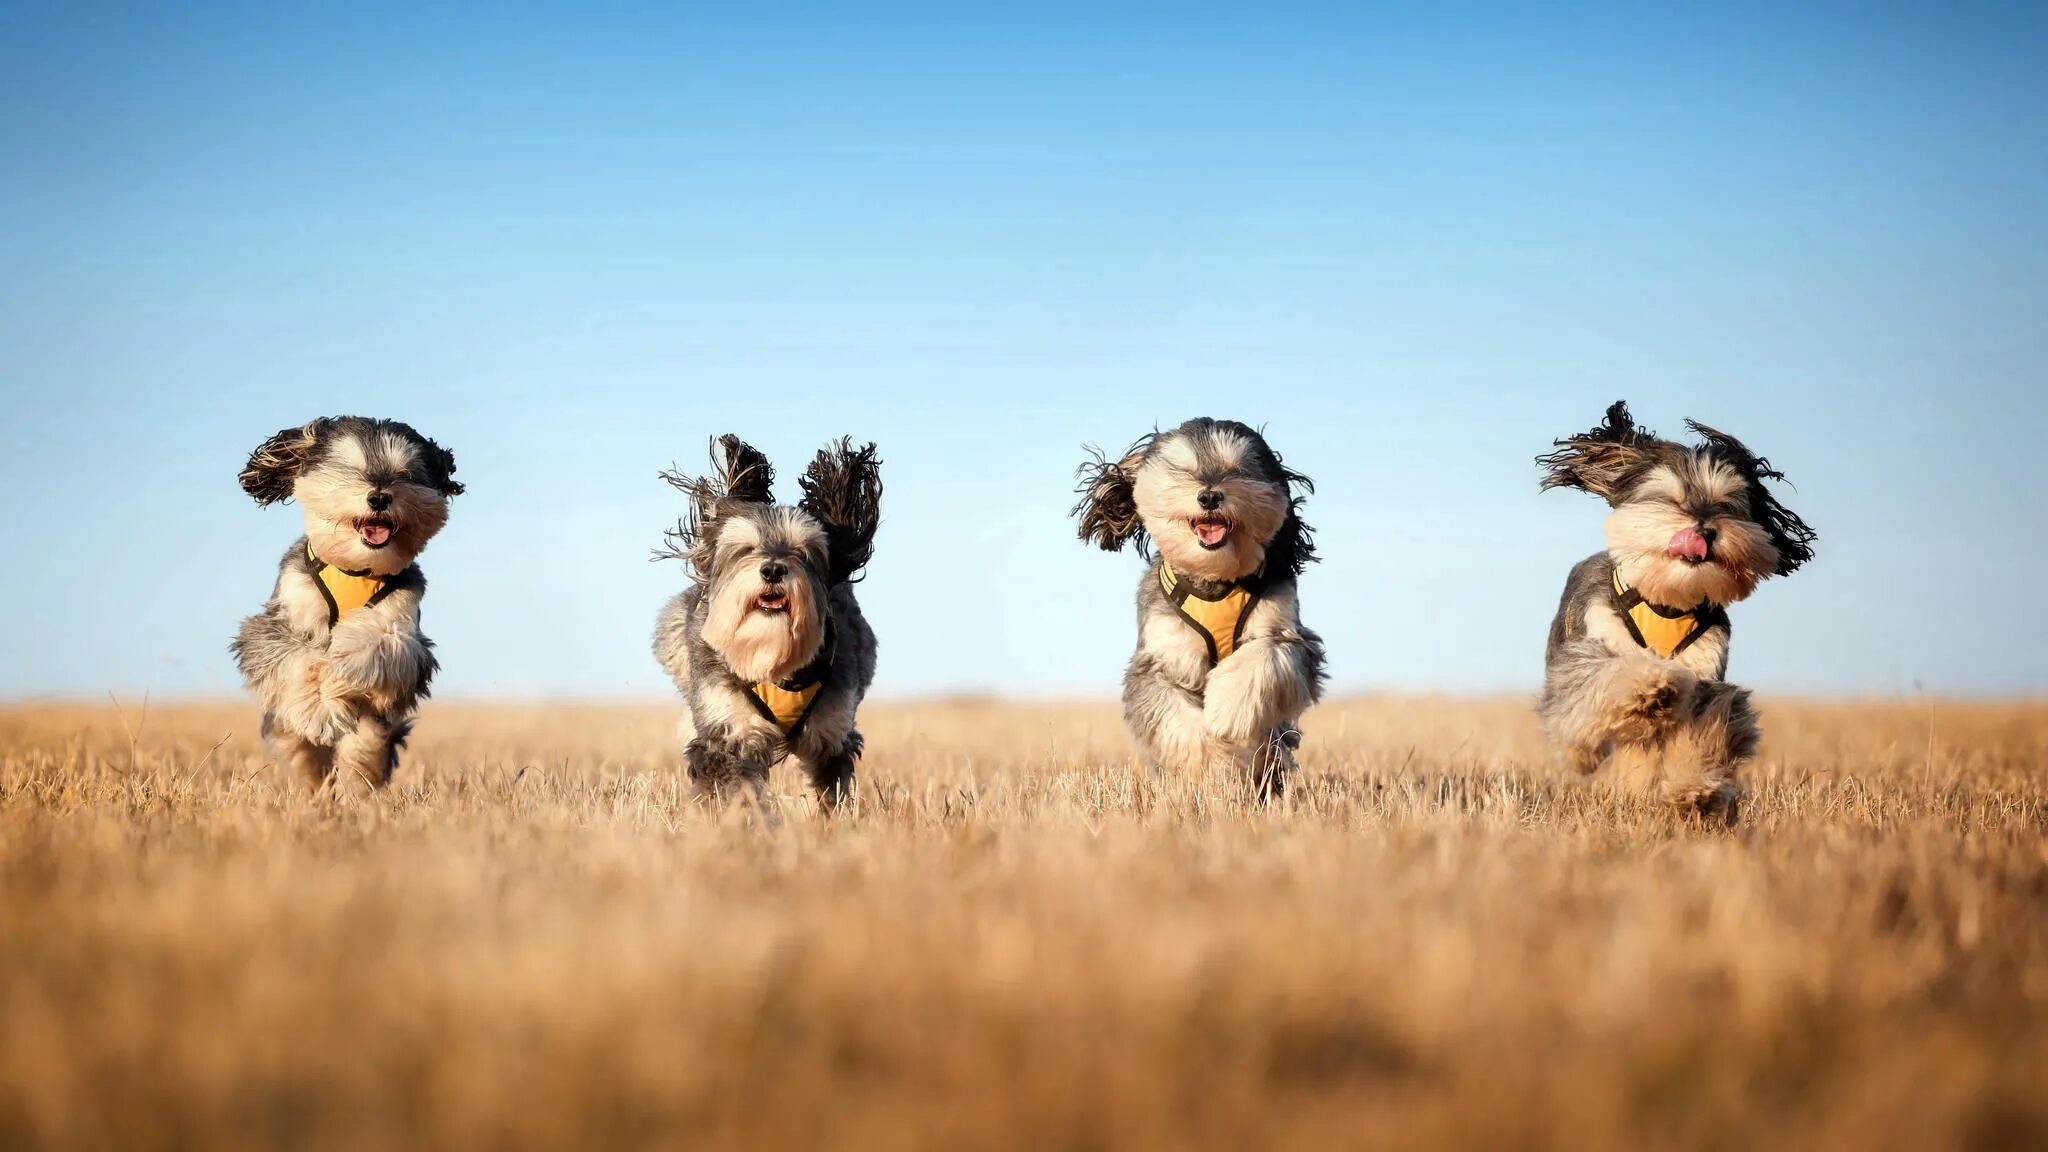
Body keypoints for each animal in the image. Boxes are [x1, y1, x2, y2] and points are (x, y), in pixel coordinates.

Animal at [229, 412, 464, 787]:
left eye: (407, 474)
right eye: (348, 468)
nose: (380, 498)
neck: (357, 568)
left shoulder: (405, 629)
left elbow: (377, 642)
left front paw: (342, 668)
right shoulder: (277, 621)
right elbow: (299, 659)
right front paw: (318, 707)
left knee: (365, 748)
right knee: (300, 750)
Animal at [651, 434, 884, 803]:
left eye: (805, 552)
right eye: (746, 549)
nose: (773, 569)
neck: (771, 658)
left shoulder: (832, 734)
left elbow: (828, 792)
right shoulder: (728, 730)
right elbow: (738, 787)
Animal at [1073, 414, 1327, 799]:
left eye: (1239, 468)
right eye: (1183, 468)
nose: (1209, 496)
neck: (1216, 579)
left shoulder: (1289, 634)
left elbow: (1265, 656)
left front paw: (1228, 709)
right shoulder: (1159, 660)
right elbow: (1179, 720)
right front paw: (1216, 767)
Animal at [1531, 403, 1818, 815]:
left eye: (1727, 503)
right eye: (1671, 499)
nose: (1706, 530)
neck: (1667, 600)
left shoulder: (1706, 676)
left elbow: (1702, 731)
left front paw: (1696, 790)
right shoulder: (1592, 648)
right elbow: (1610, 675)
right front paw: (1651, 684)